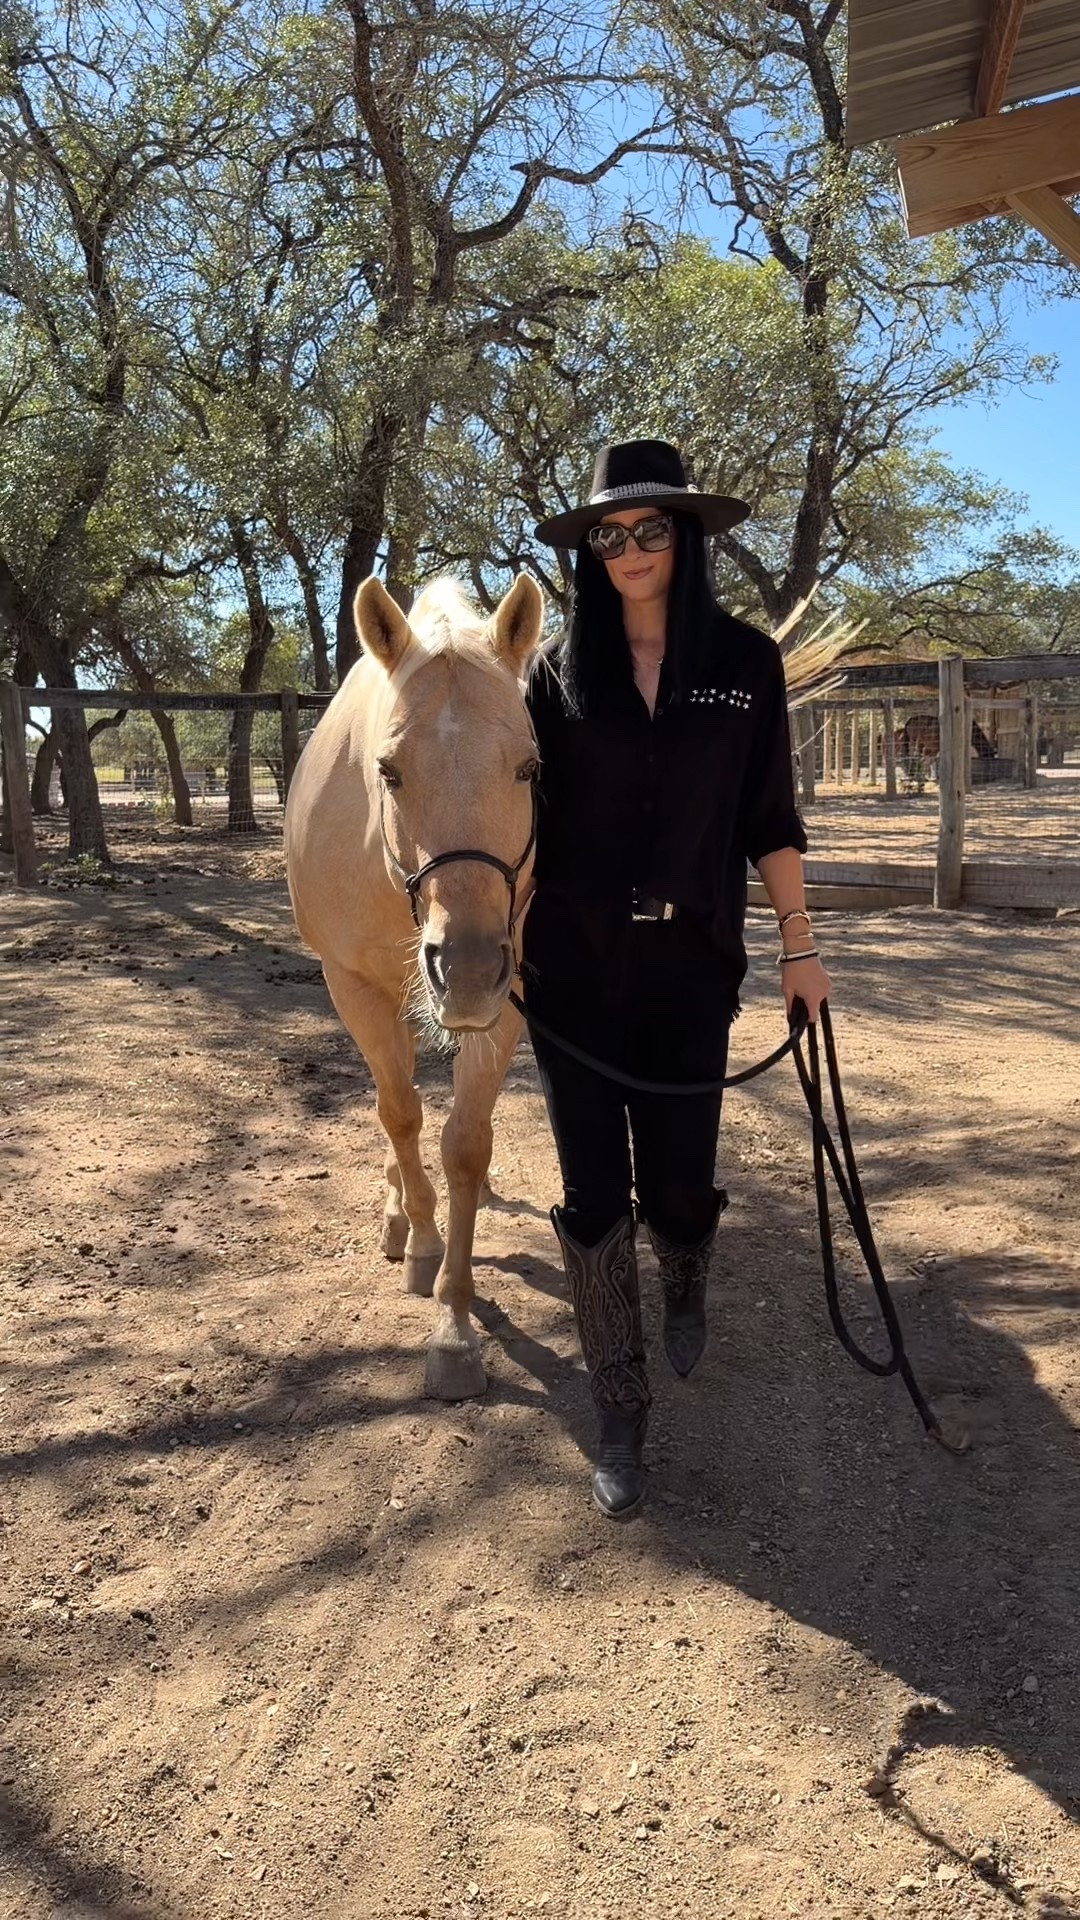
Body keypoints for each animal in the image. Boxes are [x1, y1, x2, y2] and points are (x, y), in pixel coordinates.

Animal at [284, 573, 544, 1401]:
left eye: (529, 769)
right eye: (389, 771)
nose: (465, 968)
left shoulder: (507, 994)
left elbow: (464, 1143)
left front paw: (455, 1324)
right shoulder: (352, 985)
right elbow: (399, 1115)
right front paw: (426, 1243)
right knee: (392, 1105)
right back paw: (400, 1213)